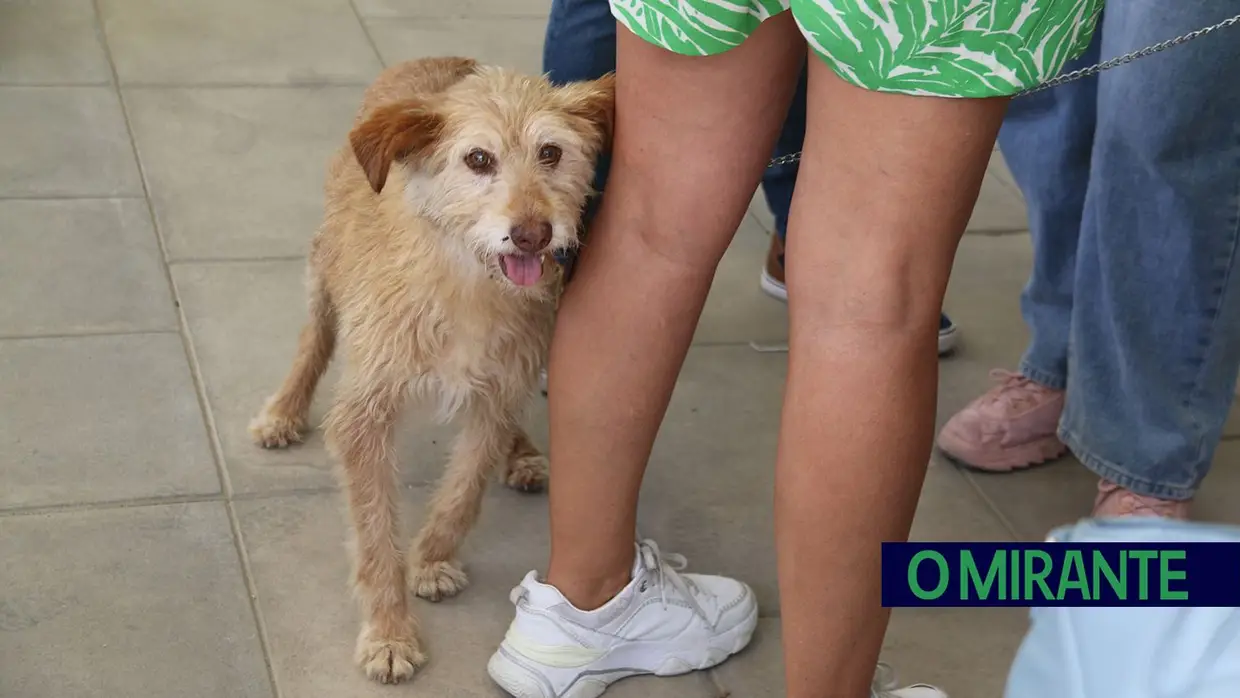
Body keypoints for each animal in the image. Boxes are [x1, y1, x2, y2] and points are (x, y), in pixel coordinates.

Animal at [248, 58, 615, 684]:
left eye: (551, 152)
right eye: (478, 159)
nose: (533, 234)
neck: (467, 280)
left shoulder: (497, 392)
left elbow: (463, 489)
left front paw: (432, 558)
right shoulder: (364, 413)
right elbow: (375, 537)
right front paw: (389, 635)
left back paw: (523, 453)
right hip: (326, 269)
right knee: (314, 339)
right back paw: (284, 410)